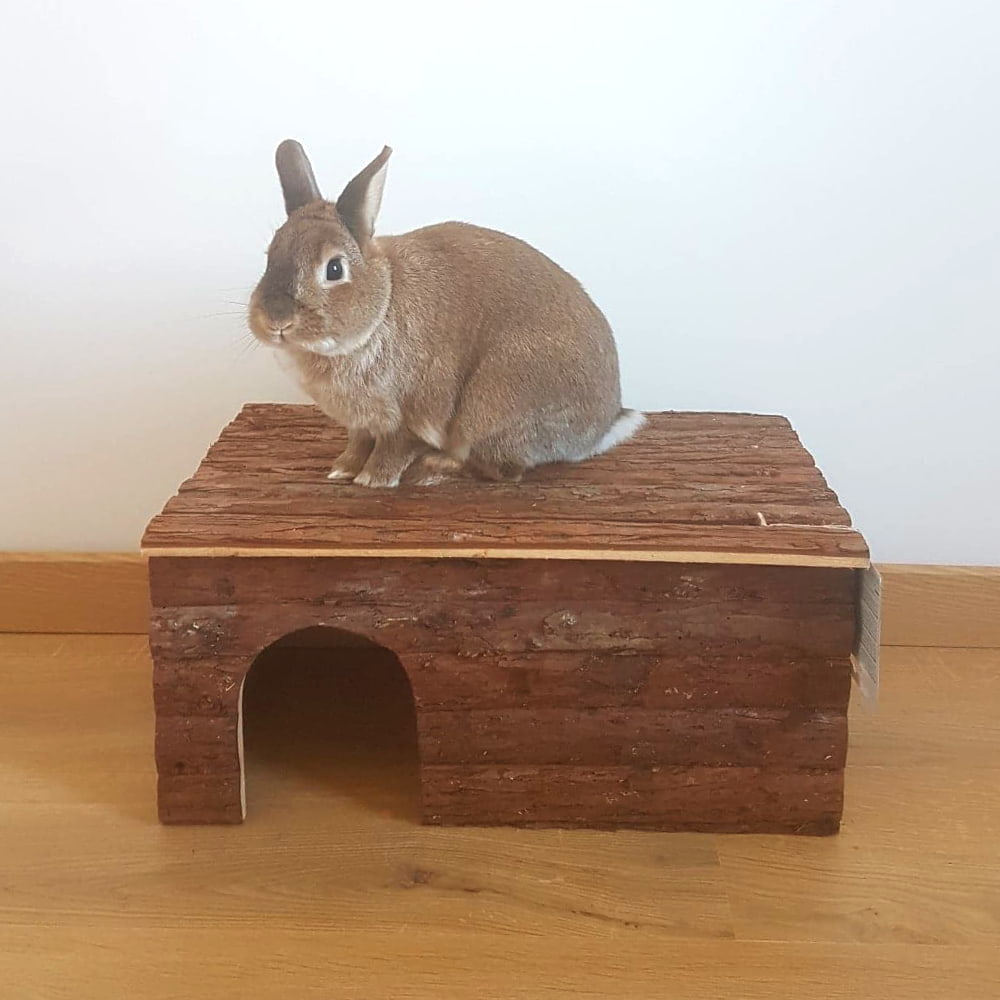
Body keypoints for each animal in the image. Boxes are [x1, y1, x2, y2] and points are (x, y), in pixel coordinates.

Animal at [248, 139, 645, 488]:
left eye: (334, 269)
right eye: (269, 256)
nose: (276, 322)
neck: (383, 304)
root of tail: (602, 427)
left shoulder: (407, 418)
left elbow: (394, 447)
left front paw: (373, 479)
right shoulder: (361, 424)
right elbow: (358, 444)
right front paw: (342, 470)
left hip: (491, 405)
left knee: (504, 471)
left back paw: (437, 467)